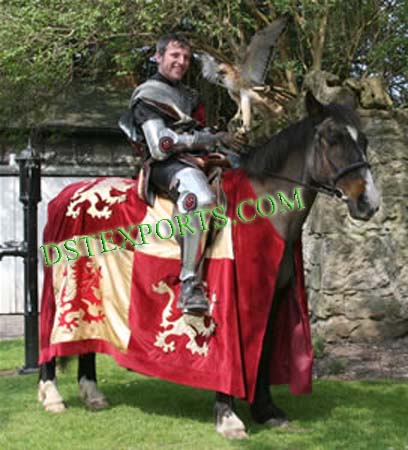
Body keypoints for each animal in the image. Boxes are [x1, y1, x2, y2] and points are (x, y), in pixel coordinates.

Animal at [37, 92, 380, 440]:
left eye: (364, 140)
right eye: (333, 139)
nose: (368, 202)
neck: (263, 206)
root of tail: (68, 194)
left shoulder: (269, 295)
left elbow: (262, 350)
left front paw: (266, 410)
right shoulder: (234, 298)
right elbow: (231, 359)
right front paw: (228, 417)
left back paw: (92, 393)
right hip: (61, 283)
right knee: (50, 331)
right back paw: (51, 394)